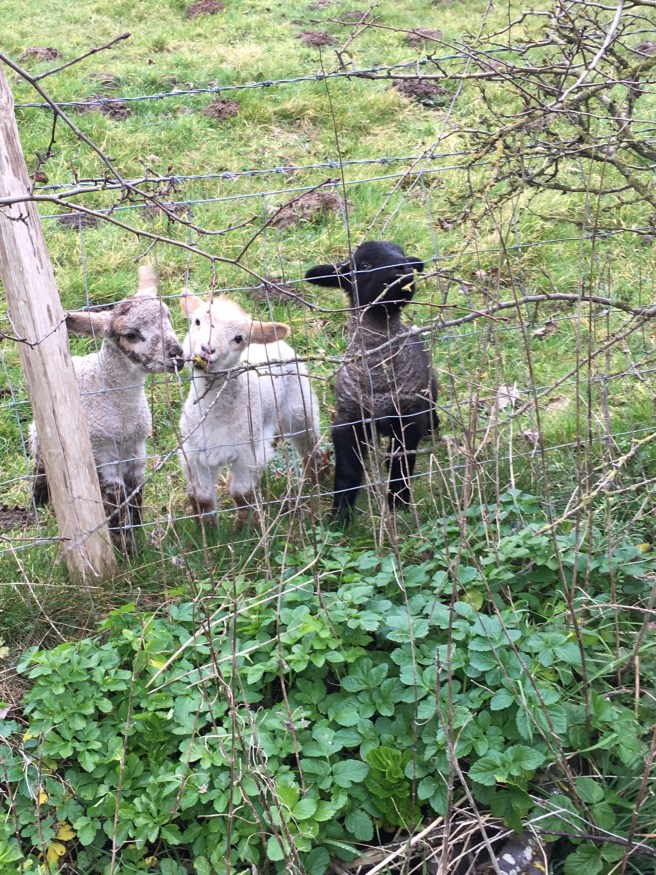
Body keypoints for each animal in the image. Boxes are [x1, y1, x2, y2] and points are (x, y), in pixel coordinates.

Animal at [30, 266, 185, 552]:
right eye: (131, 335)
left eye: (168, 317)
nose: (177, 354)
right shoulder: (103, 457)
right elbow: (116, 503)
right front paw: (126, 548)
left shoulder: (137, 451)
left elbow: (135, 496)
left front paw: (138, 533)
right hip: (41, 438)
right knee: (40, 470)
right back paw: (38, 503)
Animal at [178, 294, 326, 525]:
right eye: (197, 321)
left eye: (239, 338)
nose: (207, 349)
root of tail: (279, 343)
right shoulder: (194, 454)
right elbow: (202, 498)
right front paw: (209, 528)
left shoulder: (249, 452)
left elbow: (242, 494)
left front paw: (246, 526)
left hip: (300, 406)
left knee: (308, 443)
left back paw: (314, 479)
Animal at [305, 240, 438, 520]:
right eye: (364, 265)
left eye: (401, 254)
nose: (404, 268)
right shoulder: (348, 421)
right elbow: (347, 473)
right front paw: (339, 517)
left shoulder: (408, 419)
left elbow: (401, 467)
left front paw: (398, 506)